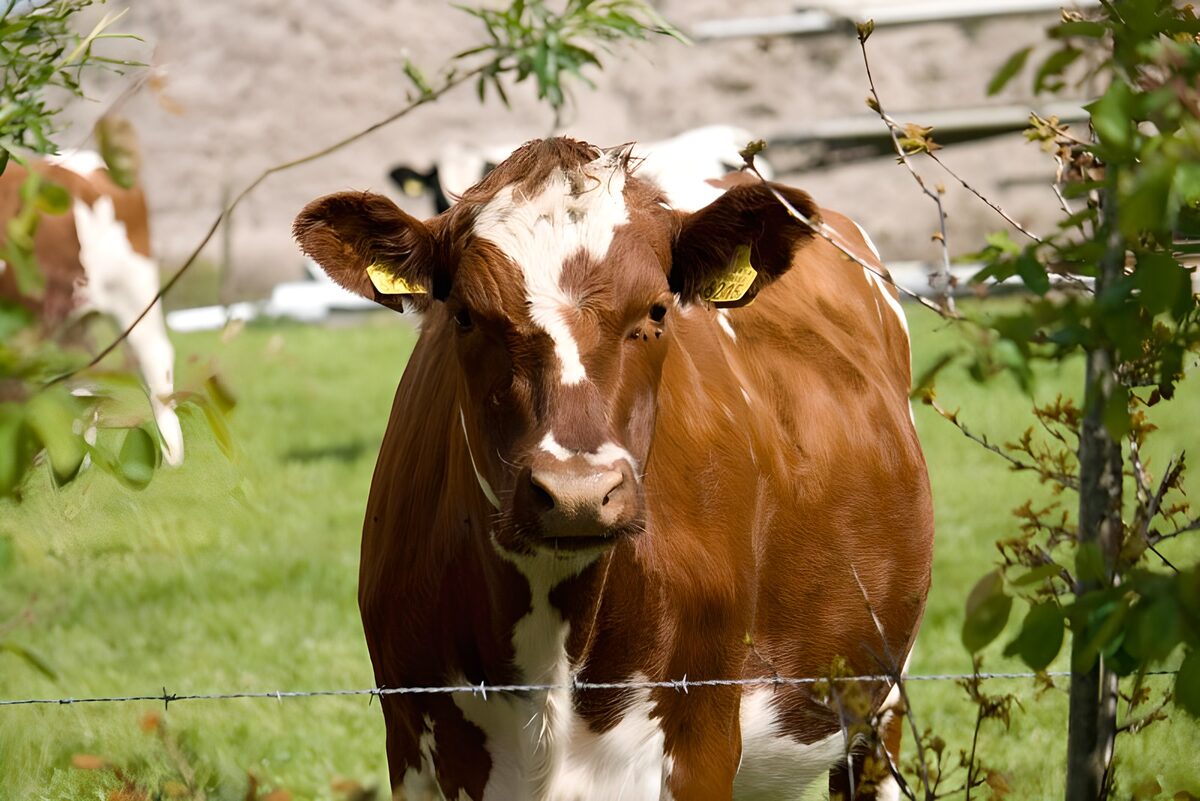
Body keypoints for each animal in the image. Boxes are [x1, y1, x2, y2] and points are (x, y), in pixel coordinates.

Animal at [294, 137, 933, 800]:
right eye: (464, 316)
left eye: (656, 311)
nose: (576, 492)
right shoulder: (411, 744)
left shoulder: (701, 740)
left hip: (884, 694)